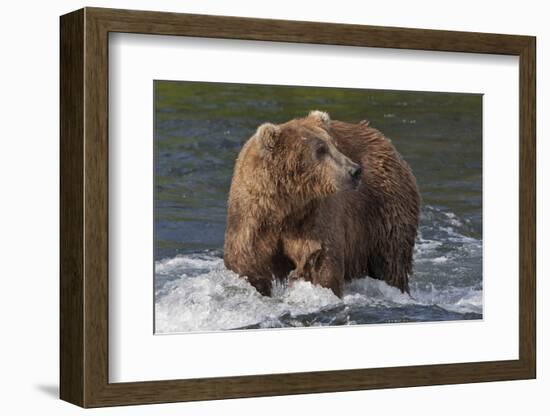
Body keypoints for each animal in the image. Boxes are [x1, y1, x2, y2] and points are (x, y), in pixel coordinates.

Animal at [222, 109, 420, 300]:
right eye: (320, 149)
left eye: (334, 145)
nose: (355, 170)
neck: (286, 205)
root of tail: (383, 139)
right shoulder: (252, 217)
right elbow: (248, 264)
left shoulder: (314, 215)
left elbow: (319, 261)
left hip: (383, 208)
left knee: (391, 260)